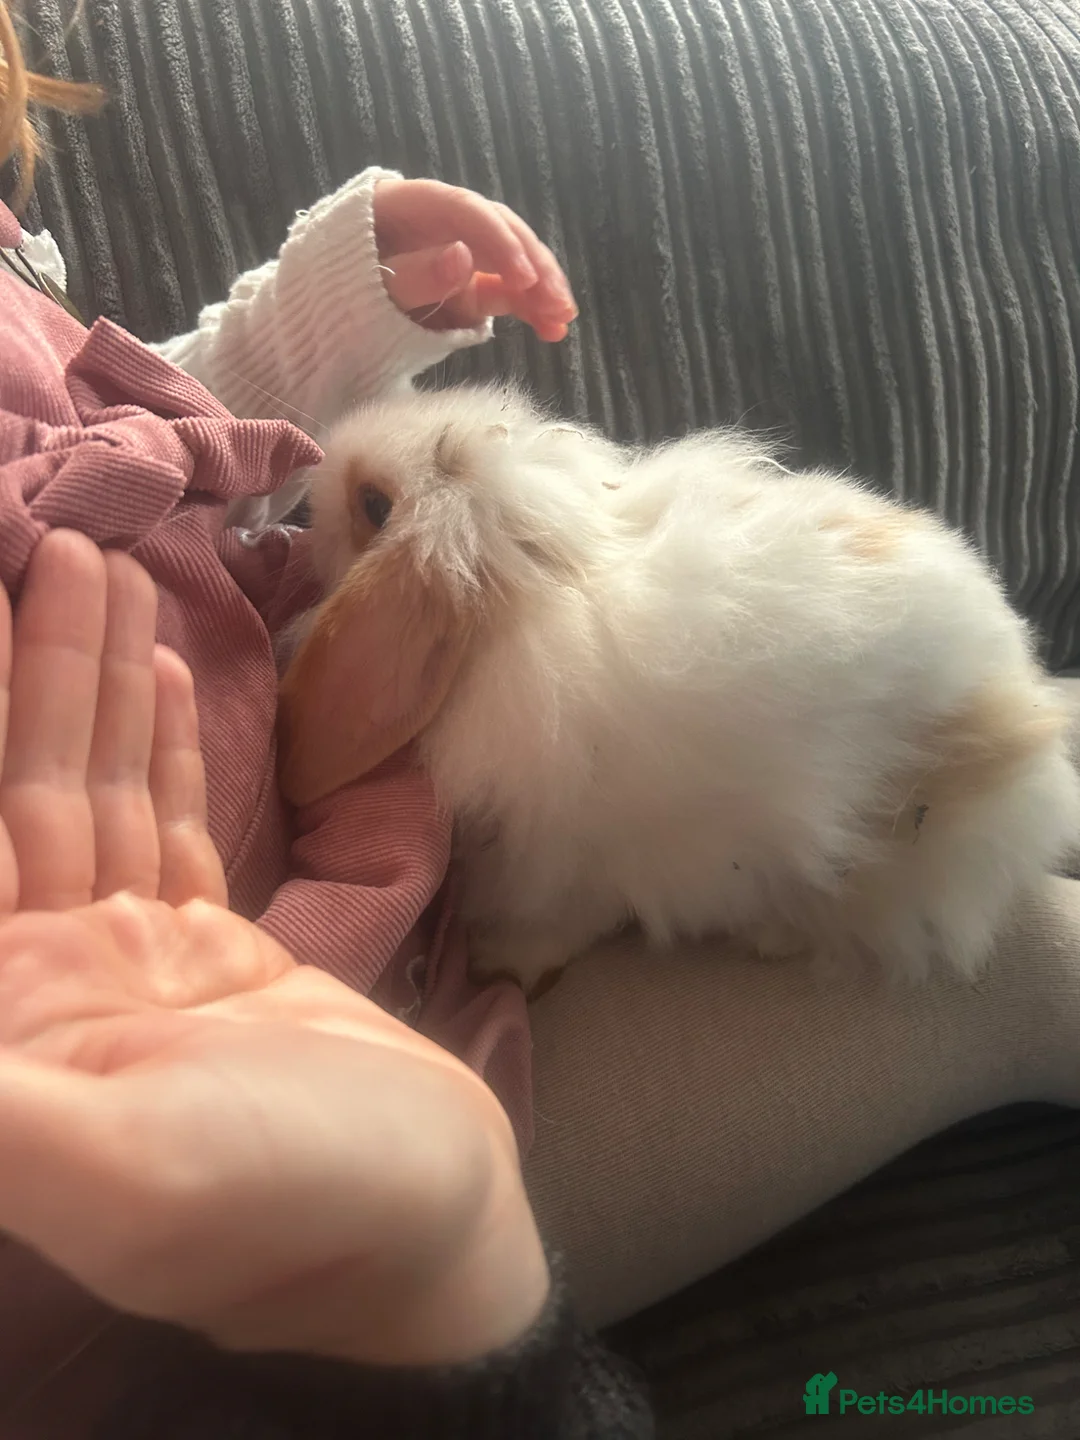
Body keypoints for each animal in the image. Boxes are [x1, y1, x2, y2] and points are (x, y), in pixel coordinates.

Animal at [277, 383, 1080, 994]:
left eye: (374, 504)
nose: (303, 502)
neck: (526, 588)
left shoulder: (570, 854)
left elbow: (560, 919)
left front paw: (501, 960)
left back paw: (772, 935)